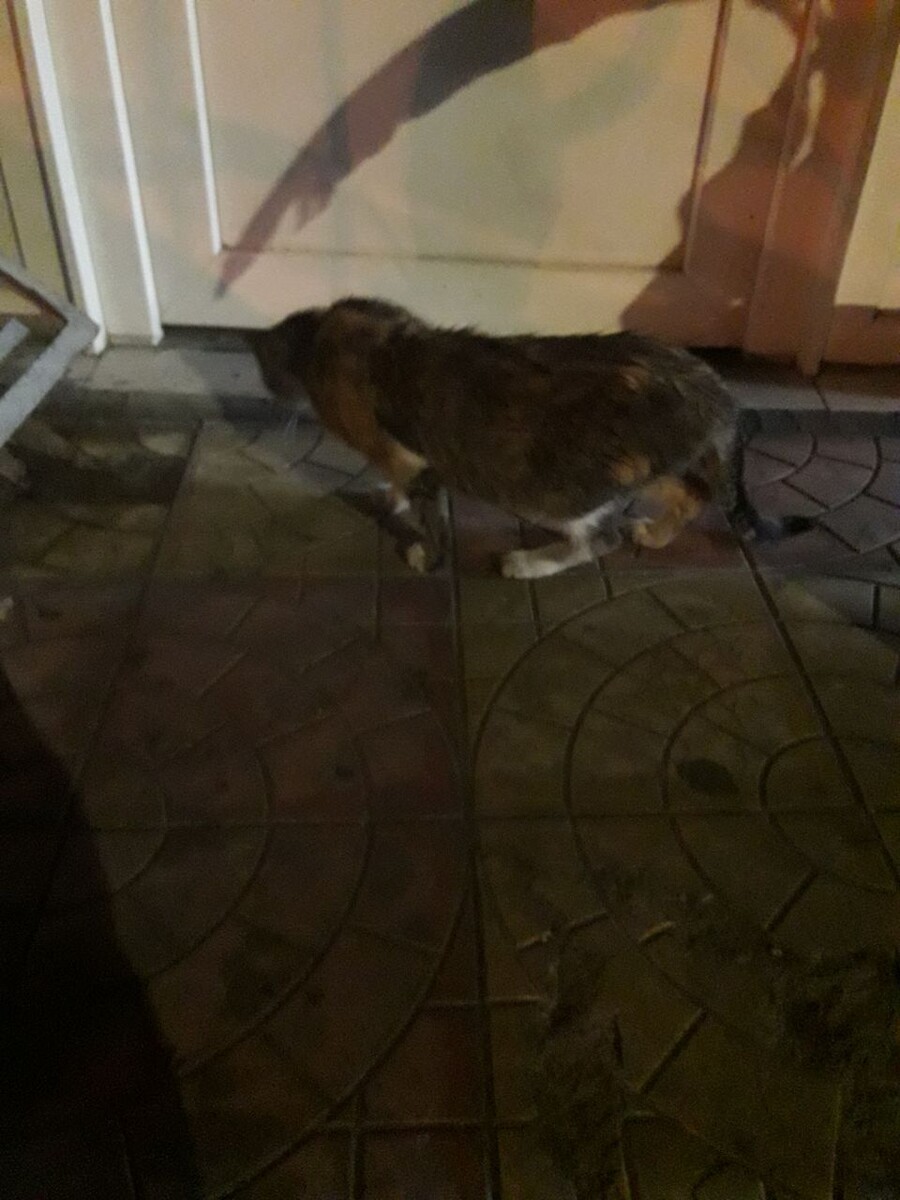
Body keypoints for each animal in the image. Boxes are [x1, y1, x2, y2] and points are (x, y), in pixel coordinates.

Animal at [248, 297, 812, 578]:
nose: (273, 397)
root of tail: (713, 387)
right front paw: (390, 496)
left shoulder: (418, 460)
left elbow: (429, 514)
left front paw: (425, 554)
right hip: (650, 465)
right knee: (692, 492)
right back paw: (654, 533)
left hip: (562, 486)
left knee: (600, 538)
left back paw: (526, 562)